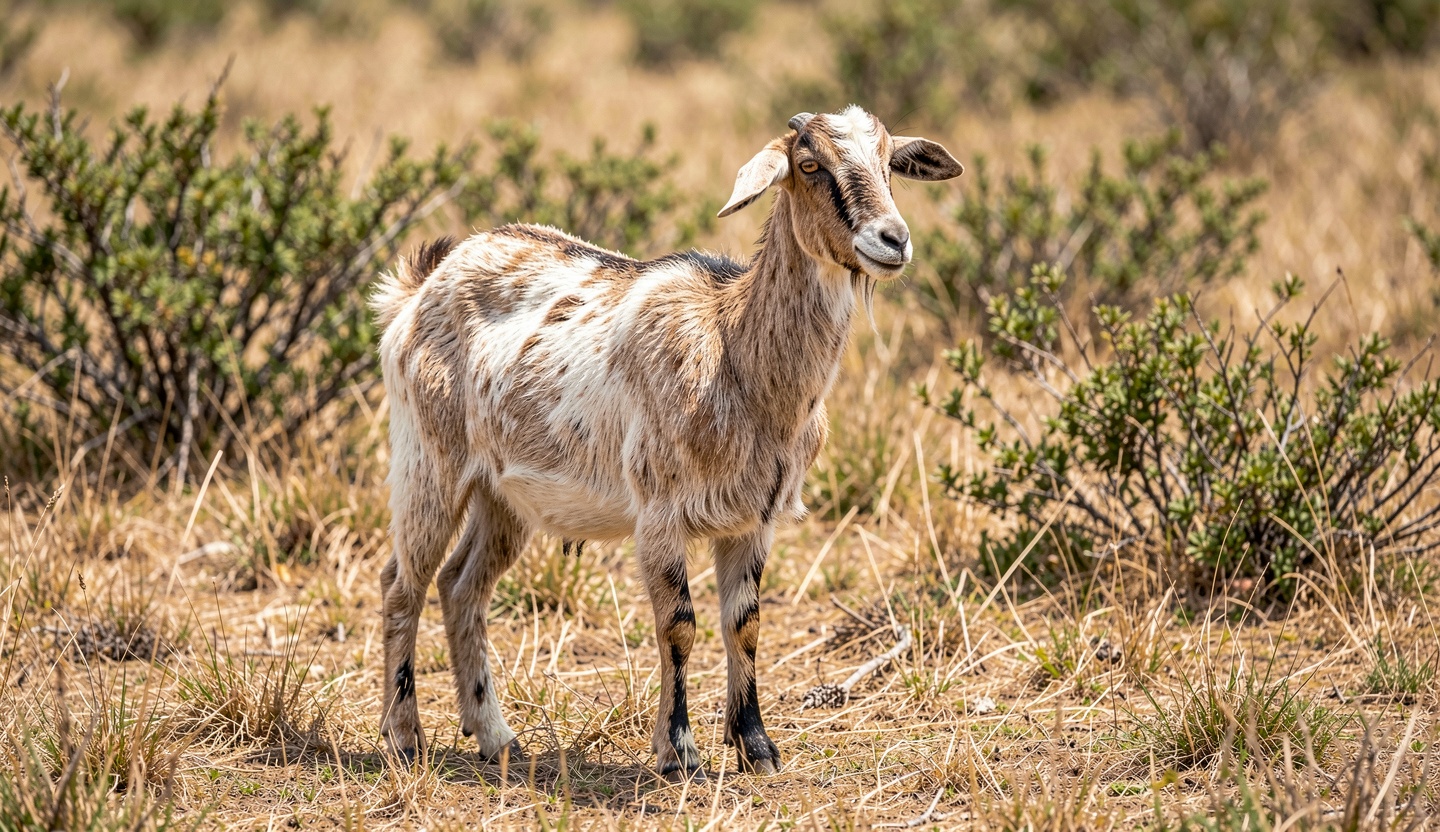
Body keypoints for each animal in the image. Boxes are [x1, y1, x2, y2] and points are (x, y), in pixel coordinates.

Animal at [371, 106, 962, 779]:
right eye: (810, 164)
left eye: (889, 162)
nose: (893, 240)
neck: (733, 349)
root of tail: (418, 288)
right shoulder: (659, 513)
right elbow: (679, 624)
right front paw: (678, 751)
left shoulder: (754, 519)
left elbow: (745, 623)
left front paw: (756, 745)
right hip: (429, 463)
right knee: (402, 584)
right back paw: (404, 738)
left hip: (504, 497)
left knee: (461, 587)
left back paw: (497, 737)